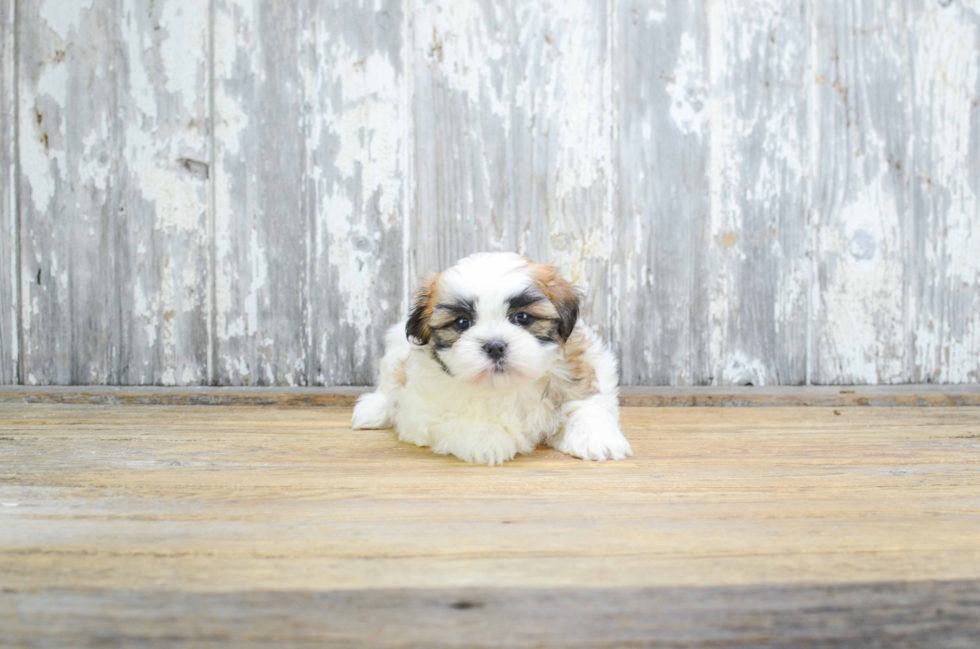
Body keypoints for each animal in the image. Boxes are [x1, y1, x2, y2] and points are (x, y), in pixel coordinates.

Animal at [352, 249, 636, 466]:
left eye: (523, 317)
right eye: (462, 322)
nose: (495, 346)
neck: (505, 386)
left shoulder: (581, 368)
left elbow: (585, 405)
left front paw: (597, 438)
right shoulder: (420, 409)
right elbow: (452, 419)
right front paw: (486, 437)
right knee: (389, 384)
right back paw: (373, 410)